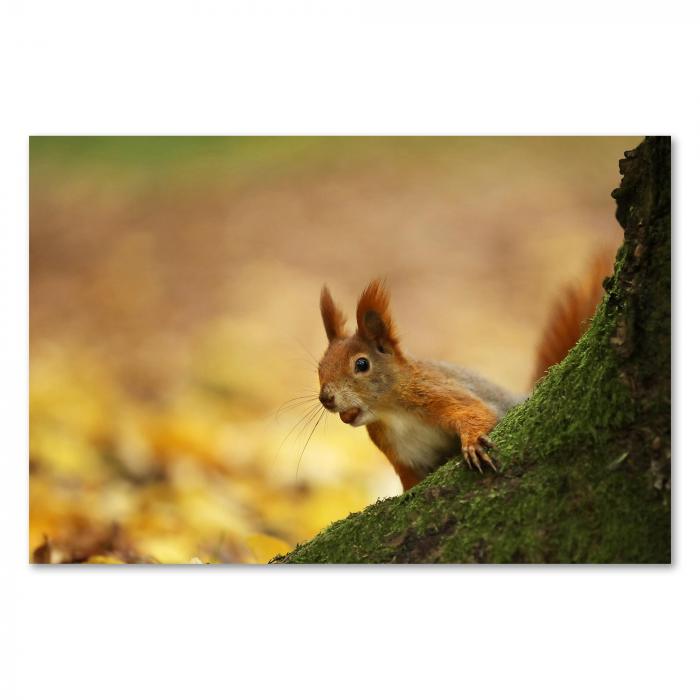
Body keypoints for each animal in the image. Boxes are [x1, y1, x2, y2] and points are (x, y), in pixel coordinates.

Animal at [318, 254, 612, 490]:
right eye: (320, 368)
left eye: (361, 364)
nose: (326, 398)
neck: (392, 414)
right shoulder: (401, 456)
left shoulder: (437, 391)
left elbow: (477, 412)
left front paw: (472, 444)